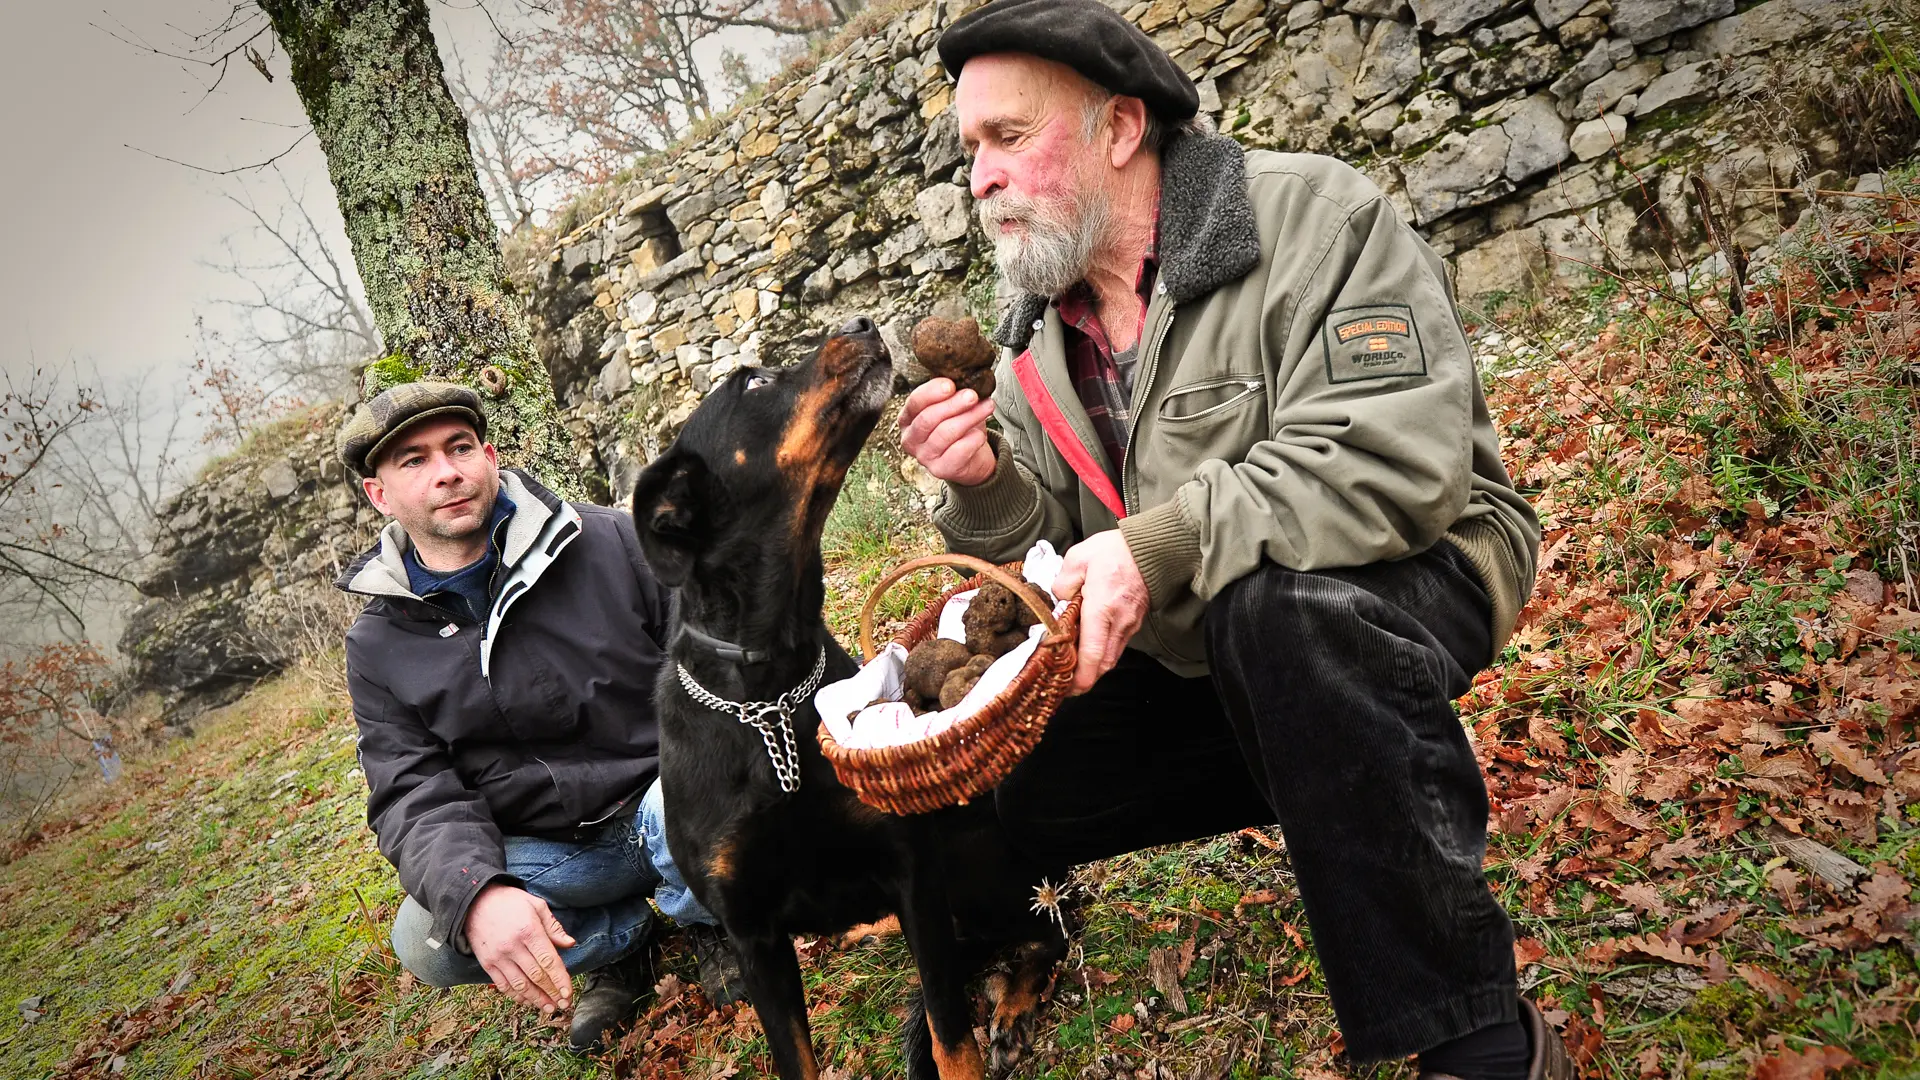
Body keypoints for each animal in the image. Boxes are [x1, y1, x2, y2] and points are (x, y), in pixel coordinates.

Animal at [637, 317, 1075, 1076]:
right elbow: (796, 1058)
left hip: (972, 863)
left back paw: (1015, 1003)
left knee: (1045, 928)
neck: (768, 696)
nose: (859, 323)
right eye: (754, 382)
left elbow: (949, 1032)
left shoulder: (913, 872)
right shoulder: (753, 937)